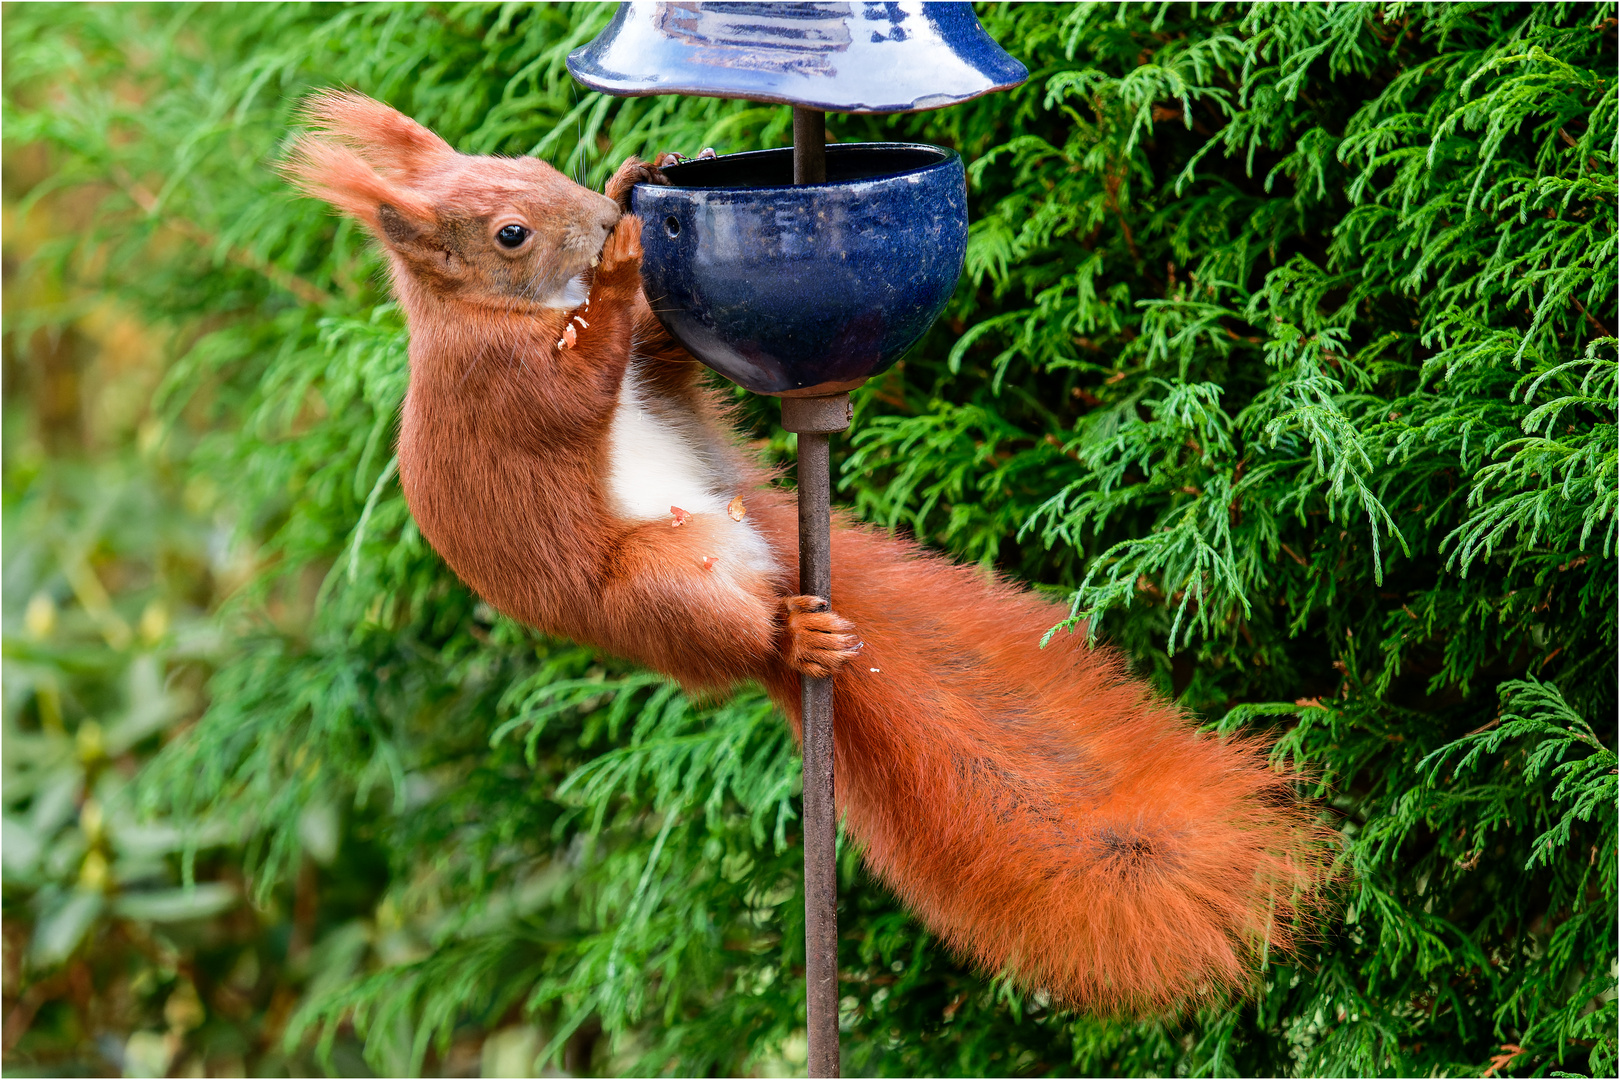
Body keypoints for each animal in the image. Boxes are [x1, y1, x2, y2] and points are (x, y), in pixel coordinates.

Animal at [288, 90, 1328, 1016]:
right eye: (510, 233)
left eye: (538, 166)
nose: (604, 218)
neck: (488, 314)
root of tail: (773, 575)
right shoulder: (505, 391)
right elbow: (579, 387)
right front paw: (621, 266)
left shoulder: (638, 368)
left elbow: (655, 356)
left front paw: (638, 177)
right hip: (663, 585)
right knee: (740, 633)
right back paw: (792, 644)